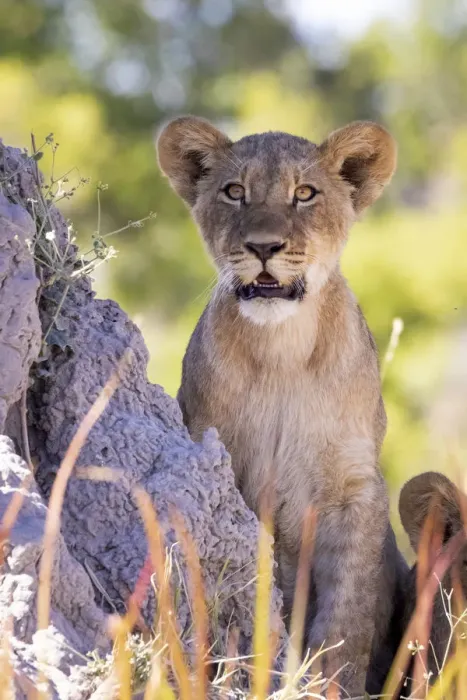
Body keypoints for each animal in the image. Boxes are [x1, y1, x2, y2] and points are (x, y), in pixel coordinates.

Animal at [156, 116, 407, 694]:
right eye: (234, 192)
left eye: (305, 194)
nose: (264, 246)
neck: (283, 352)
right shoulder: (227, 466)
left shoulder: (355, 483)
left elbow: (348, 606)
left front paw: (329, 682)